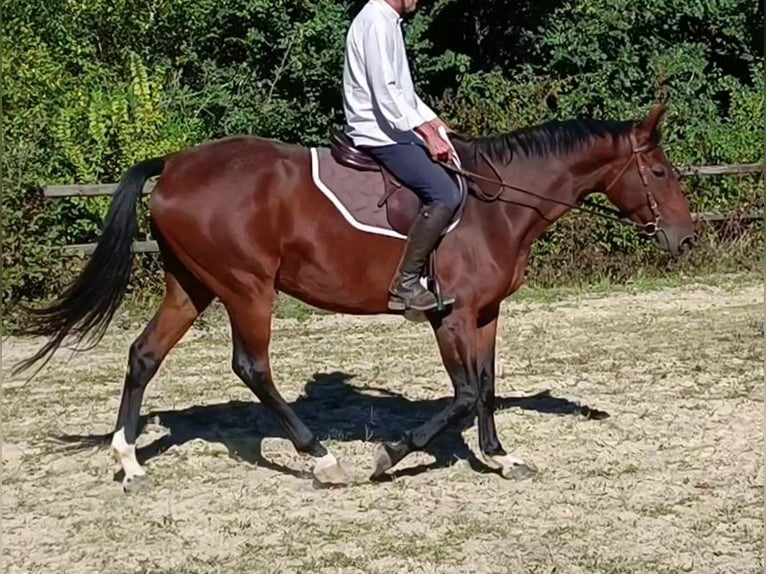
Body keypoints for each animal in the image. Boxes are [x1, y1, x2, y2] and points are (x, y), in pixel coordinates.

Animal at [12, 102, 700, 490]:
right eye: (660, 171)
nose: (686, 237)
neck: (495, 204)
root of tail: (177, 164)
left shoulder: (486, 314)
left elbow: (486, 386)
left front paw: (500, 457)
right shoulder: (450, 316)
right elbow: (464, 393)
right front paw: (390, 456)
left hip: (192, 285)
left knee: (143, 355)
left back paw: (130, 462)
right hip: (246, 287)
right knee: (252, 367)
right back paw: (320, 458)